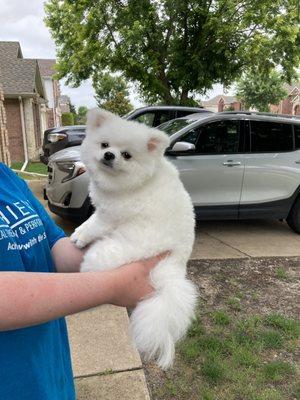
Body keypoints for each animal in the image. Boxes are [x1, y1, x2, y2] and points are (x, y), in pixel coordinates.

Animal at [71, 108, 198, 368]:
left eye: (127, 155)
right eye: (104, 144)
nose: (109, 155)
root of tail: (173, 268)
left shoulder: (110, 217)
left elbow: (95, 226)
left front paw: (82, 237)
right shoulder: (102, 211)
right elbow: (89, 222)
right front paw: (79, 231)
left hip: (120, 249)